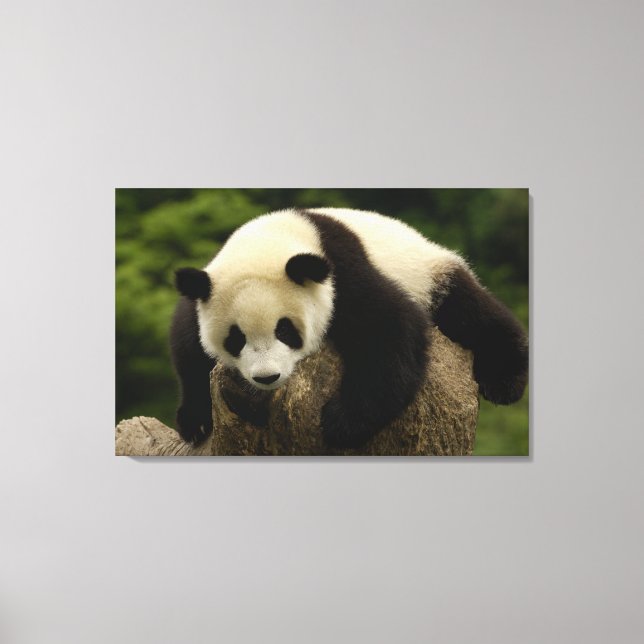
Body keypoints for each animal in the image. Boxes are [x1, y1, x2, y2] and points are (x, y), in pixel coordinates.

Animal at [170, 207, 528, 448]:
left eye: (285, 330)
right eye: (236, 338)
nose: (267, 377)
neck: (272, 239)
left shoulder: (341, 273)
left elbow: (391, 328)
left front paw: (341, 422)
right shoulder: (204, 289)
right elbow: (188, 345)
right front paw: (196, 421)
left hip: (430, 275)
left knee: (473, 312)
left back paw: (505, 382)